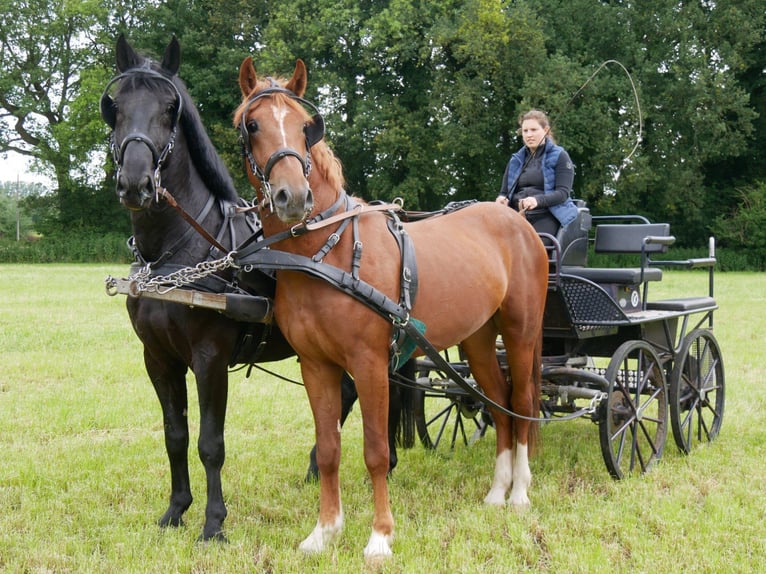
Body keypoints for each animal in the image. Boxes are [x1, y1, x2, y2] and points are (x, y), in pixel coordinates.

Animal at [104, 37, 414, 544]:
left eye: (170, 108)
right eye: (116, 107)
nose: (135, 182)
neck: (174, 252)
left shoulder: (209, 357)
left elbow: (210, 442)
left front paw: (213, 523)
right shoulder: (158, 359)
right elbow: (175, 436)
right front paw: (175, 510)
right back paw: (325, 467)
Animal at [234, 57, 552, 560]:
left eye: (305, 127)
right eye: (252, 125)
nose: (294, 197)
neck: (328, 252)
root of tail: (517, 221)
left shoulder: (369, 364)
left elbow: (376, 451)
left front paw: (380, 536)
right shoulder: (316, 365)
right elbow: (329, 448)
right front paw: (323, 532)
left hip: (521, 332)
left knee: (521, 401)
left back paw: (519, 491)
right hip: (478, 339)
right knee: (498, 403)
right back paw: (497, 492)